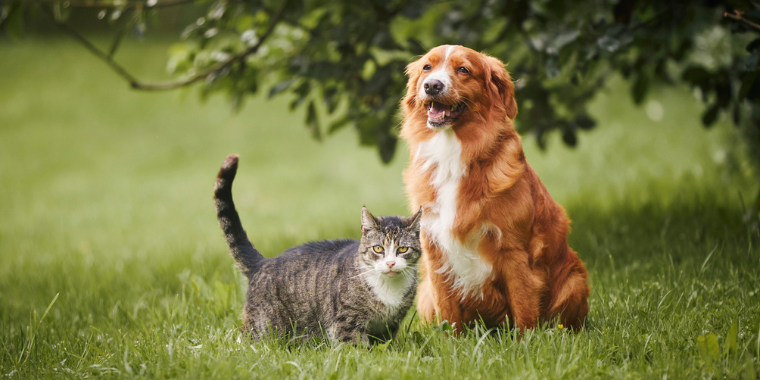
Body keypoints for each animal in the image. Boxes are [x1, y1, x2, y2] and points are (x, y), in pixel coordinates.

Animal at [212, 154, 422, 344]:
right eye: (378, 248)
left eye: (403, 249)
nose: (390, 263)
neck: (389, 290)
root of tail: (262, 262)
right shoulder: (347, 321)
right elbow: (354, 347)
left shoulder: (389, 325)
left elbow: (384, 345)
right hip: (265, 327)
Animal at [400, 44, 592, 332]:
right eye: (427, 67)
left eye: (463, 69)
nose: (432, 85)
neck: (453, 152)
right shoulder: (434, 250)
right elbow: (448, 314)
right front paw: (450, 341)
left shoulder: (514, 250)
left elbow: (524, 307)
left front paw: (527, 341)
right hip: (424, 294)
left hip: (574, 280)